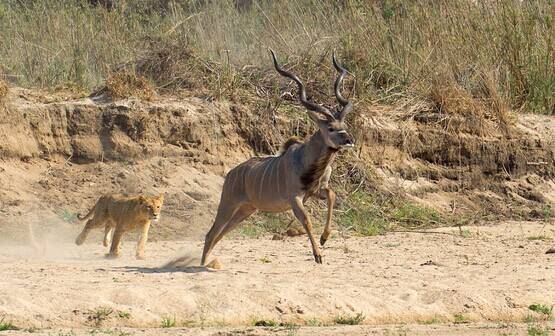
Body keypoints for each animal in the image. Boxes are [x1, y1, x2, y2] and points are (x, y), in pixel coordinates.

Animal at [202, 50, 354, 266]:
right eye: (331, 128)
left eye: (345, 125)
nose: (349, 140)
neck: (306, 160)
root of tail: (231, 174)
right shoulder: (295, 198)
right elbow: (307, 220)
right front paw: (318, 254)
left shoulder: (316, 191)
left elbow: (332, 195)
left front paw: (324, 238)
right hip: (228, 204)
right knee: (211, 233)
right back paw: (200, 264)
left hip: (246, 210)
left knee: (220, 234)